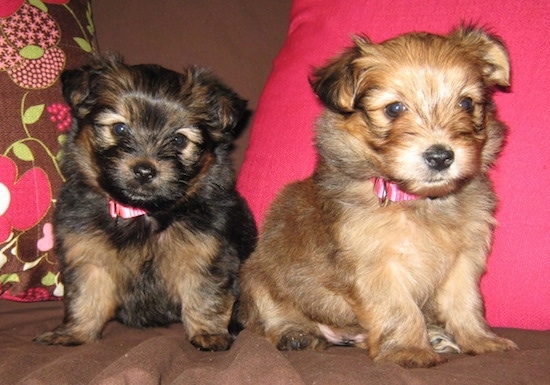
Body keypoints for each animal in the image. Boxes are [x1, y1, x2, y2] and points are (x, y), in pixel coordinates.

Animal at [239, 25, 520, 368]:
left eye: (466, 104)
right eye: (394, 108)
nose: (441, 156)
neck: (417, 199)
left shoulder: (463, 260)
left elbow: (466, 303)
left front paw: (480, 340)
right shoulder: (376, 264)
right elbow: (399, 309)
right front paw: (409, 350)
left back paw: (437, 336)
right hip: (257, 279)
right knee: (267, 316)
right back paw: (294, 334)